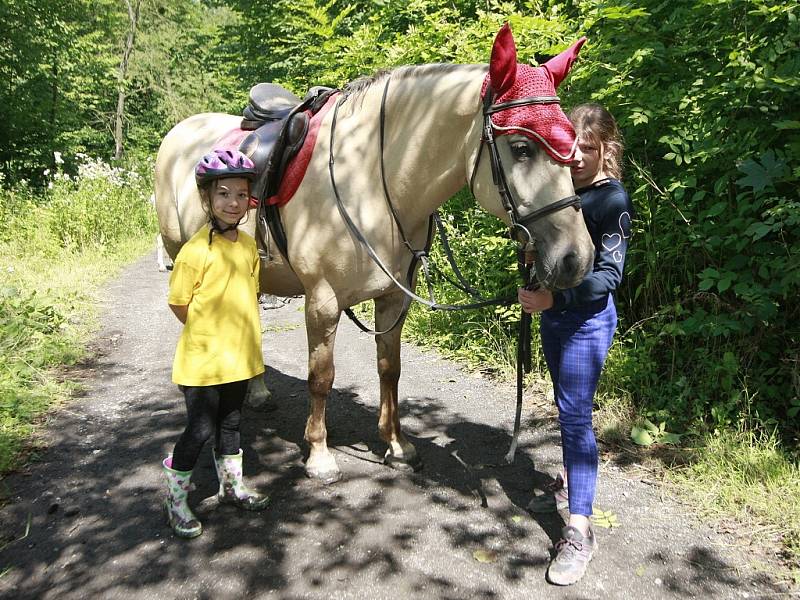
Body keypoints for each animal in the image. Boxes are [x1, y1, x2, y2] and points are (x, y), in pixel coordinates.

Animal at [155, 24, 592, 482]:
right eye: (523, 148)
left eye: (571, 146)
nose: (576, 258)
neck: (369, 180)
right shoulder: (323, 301)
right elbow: (321, 376)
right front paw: (319, 454)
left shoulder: (394, 297)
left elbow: (390, 369)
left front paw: (397, 445)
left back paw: (257, 393)